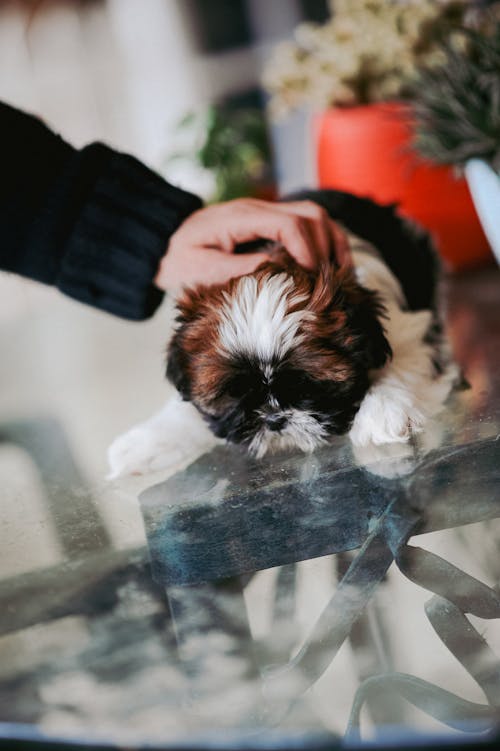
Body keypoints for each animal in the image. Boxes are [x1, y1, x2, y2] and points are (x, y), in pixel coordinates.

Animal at [107, 191, 458, 478]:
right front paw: (145, 443)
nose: (274, 419)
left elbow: (402, 360)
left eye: (304, 385)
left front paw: (384, 412)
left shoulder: (410, 329)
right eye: (236, 392)